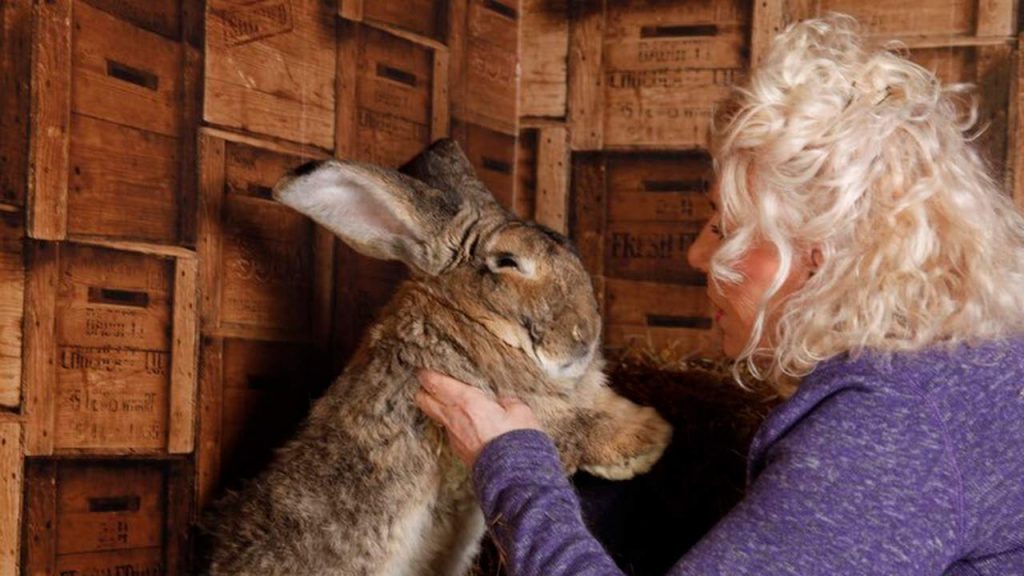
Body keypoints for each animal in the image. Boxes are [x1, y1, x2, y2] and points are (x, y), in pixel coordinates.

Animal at [206, 139, 671, 573]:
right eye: (507, 261)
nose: (584, 335)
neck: (471, 320)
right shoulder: (520, 406)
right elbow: (583, 426)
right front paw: (651, 440)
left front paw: (651, 428)